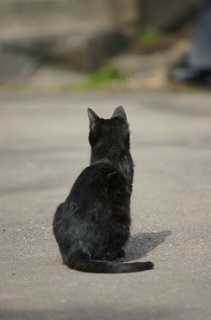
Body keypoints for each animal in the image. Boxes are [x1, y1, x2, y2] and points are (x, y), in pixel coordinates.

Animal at [52, 107, 152, 272]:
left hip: (59, 208)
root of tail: (77, 249)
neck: (109, 152)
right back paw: (118, 255)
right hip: (123, 217)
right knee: (105, 254)